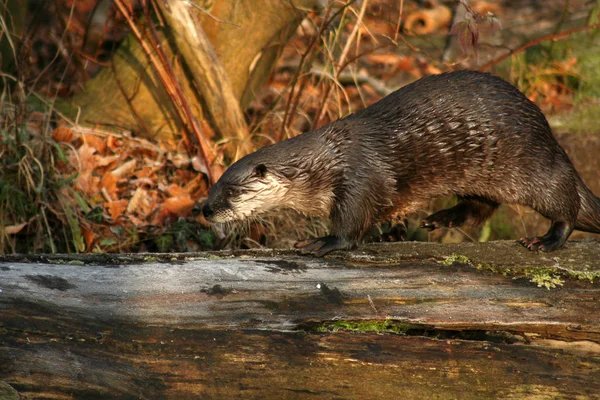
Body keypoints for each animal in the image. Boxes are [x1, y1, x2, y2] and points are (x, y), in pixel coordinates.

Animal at [202, 71, 600, 256]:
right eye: (213, 184)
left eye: (232, 191)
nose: (204, 210)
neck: (324, 162)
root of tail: (549, 137)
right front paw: (392, 232)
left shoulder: (360, 177)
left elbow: (352, 225)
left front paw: (323, 241)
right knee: (482, 206)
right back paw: (442, 218)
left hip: (530, 164)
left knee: (564, 202)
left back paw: (546, 240)